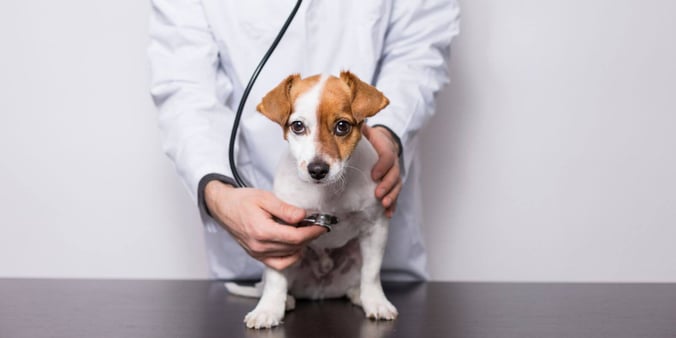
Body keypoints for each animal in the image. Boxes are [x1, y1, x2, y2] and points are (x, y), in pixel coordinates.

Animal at [227, 70, 396, 328]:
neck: (327, 193)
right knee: (273, 283)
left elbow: (372, 273)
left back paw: (358, 294)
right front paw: (268, 309)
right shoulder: (280, 233)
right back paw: (285, 300)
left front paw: (376, 302)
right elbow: (276, 279)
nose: (317, 170)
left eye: (342, 126)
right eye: (298, 126)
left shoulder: (375, 228)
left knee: (358, 278)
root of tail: (320, 290)